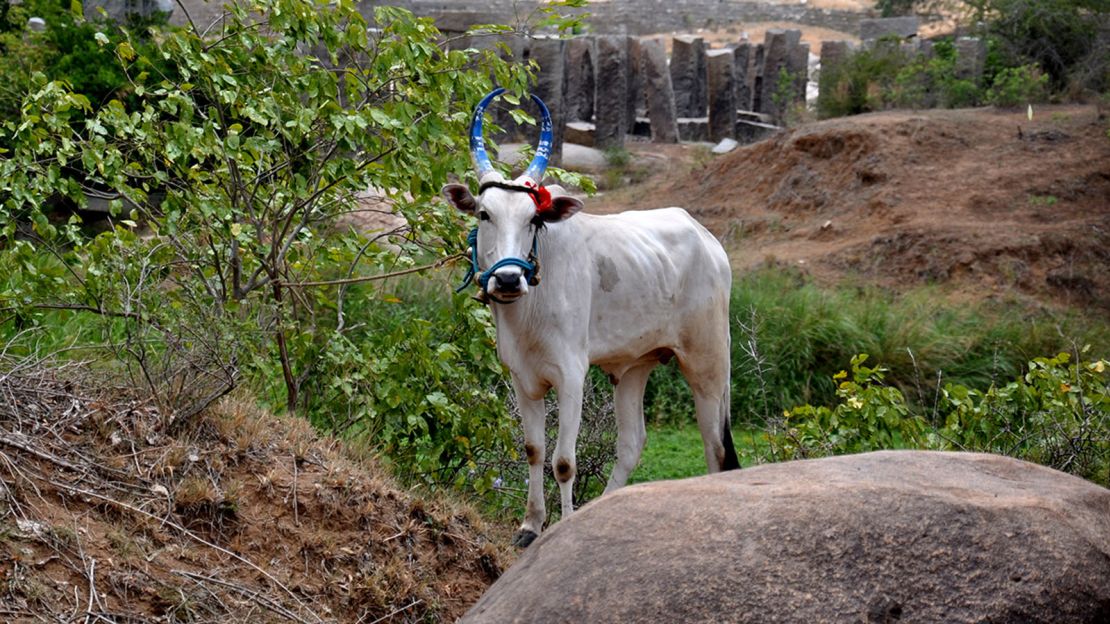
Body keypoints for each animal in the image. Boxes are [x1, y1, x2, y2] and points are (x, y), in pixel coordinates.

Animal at [441, 87, 737, 544]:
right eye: (483, 214)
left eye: (533, 218)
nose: (507, 279)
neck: (529, 309)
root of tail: (708, 240)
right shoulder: (523, 378)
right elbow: (534, 450)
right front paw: (530, 525)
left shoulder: (571, 376)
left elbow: (564, 462)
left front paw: (561, 526)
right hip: (635, 367)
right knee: (632, 444)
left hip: (708, 362)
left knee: (715, 444)